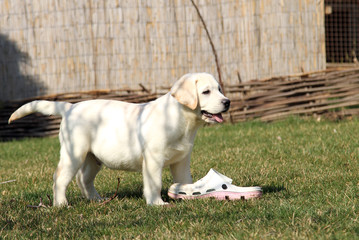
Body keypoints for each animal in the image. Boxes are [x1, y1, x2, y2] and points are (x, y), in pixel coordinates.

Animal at [8, 72, 231, 205]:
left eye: (219, 89)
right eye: (206, 92)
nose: (227, 102)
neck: (182, 121)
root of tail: (70, 107)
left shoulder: (182, 160)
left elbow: (185, 181)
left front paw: (188, 196)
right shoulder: (153, 159)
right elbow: (154, 183)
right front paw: (157, 204)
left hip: (93, 158)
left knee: (83, 179)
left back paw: (96, 199)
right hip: (74, 153)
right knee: (60, 178)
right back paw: (61, 204)